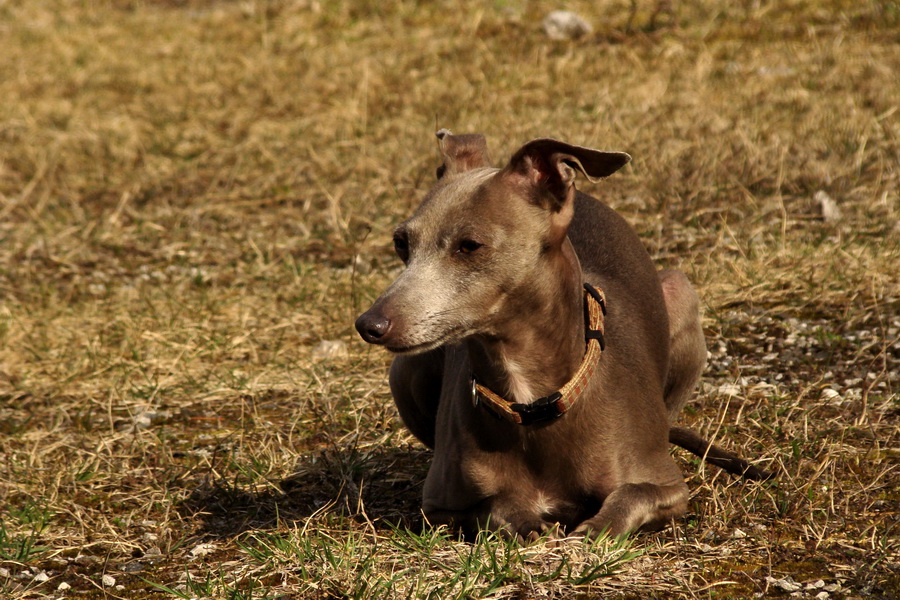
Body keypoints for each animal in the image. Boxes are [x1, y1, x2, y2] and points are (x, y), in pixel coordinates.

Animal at [356, 130, 768, 540]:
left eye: (469, 245)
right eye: (401, 242)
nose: (368, 325)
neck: (531, 403)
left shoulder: (668, 487)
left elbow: (630, 496)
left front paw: (595, 527)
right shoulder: (439, 508)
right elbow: (493, 506)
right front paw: (526, 520)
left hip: (681, 294)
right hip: (407, 371)